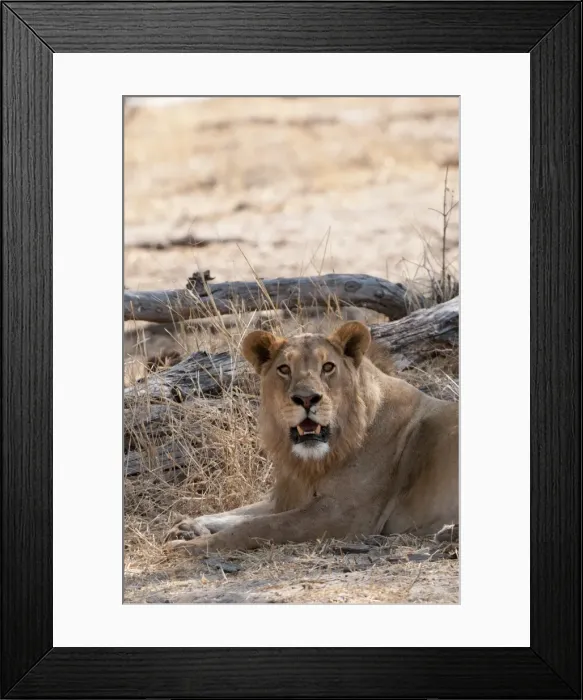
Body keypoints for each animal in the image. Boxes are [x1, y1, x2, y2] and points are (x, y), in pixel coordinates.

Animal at [165, 321, 458, 554]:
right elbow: (241, 513)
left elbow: (260, 525)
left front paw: (187, 546)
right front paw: (188, 527)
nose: (306, 399)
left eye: (328, 367)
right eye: (284, 369)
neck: (316, 462)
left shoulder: (344, 514)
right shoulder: (292, 497)